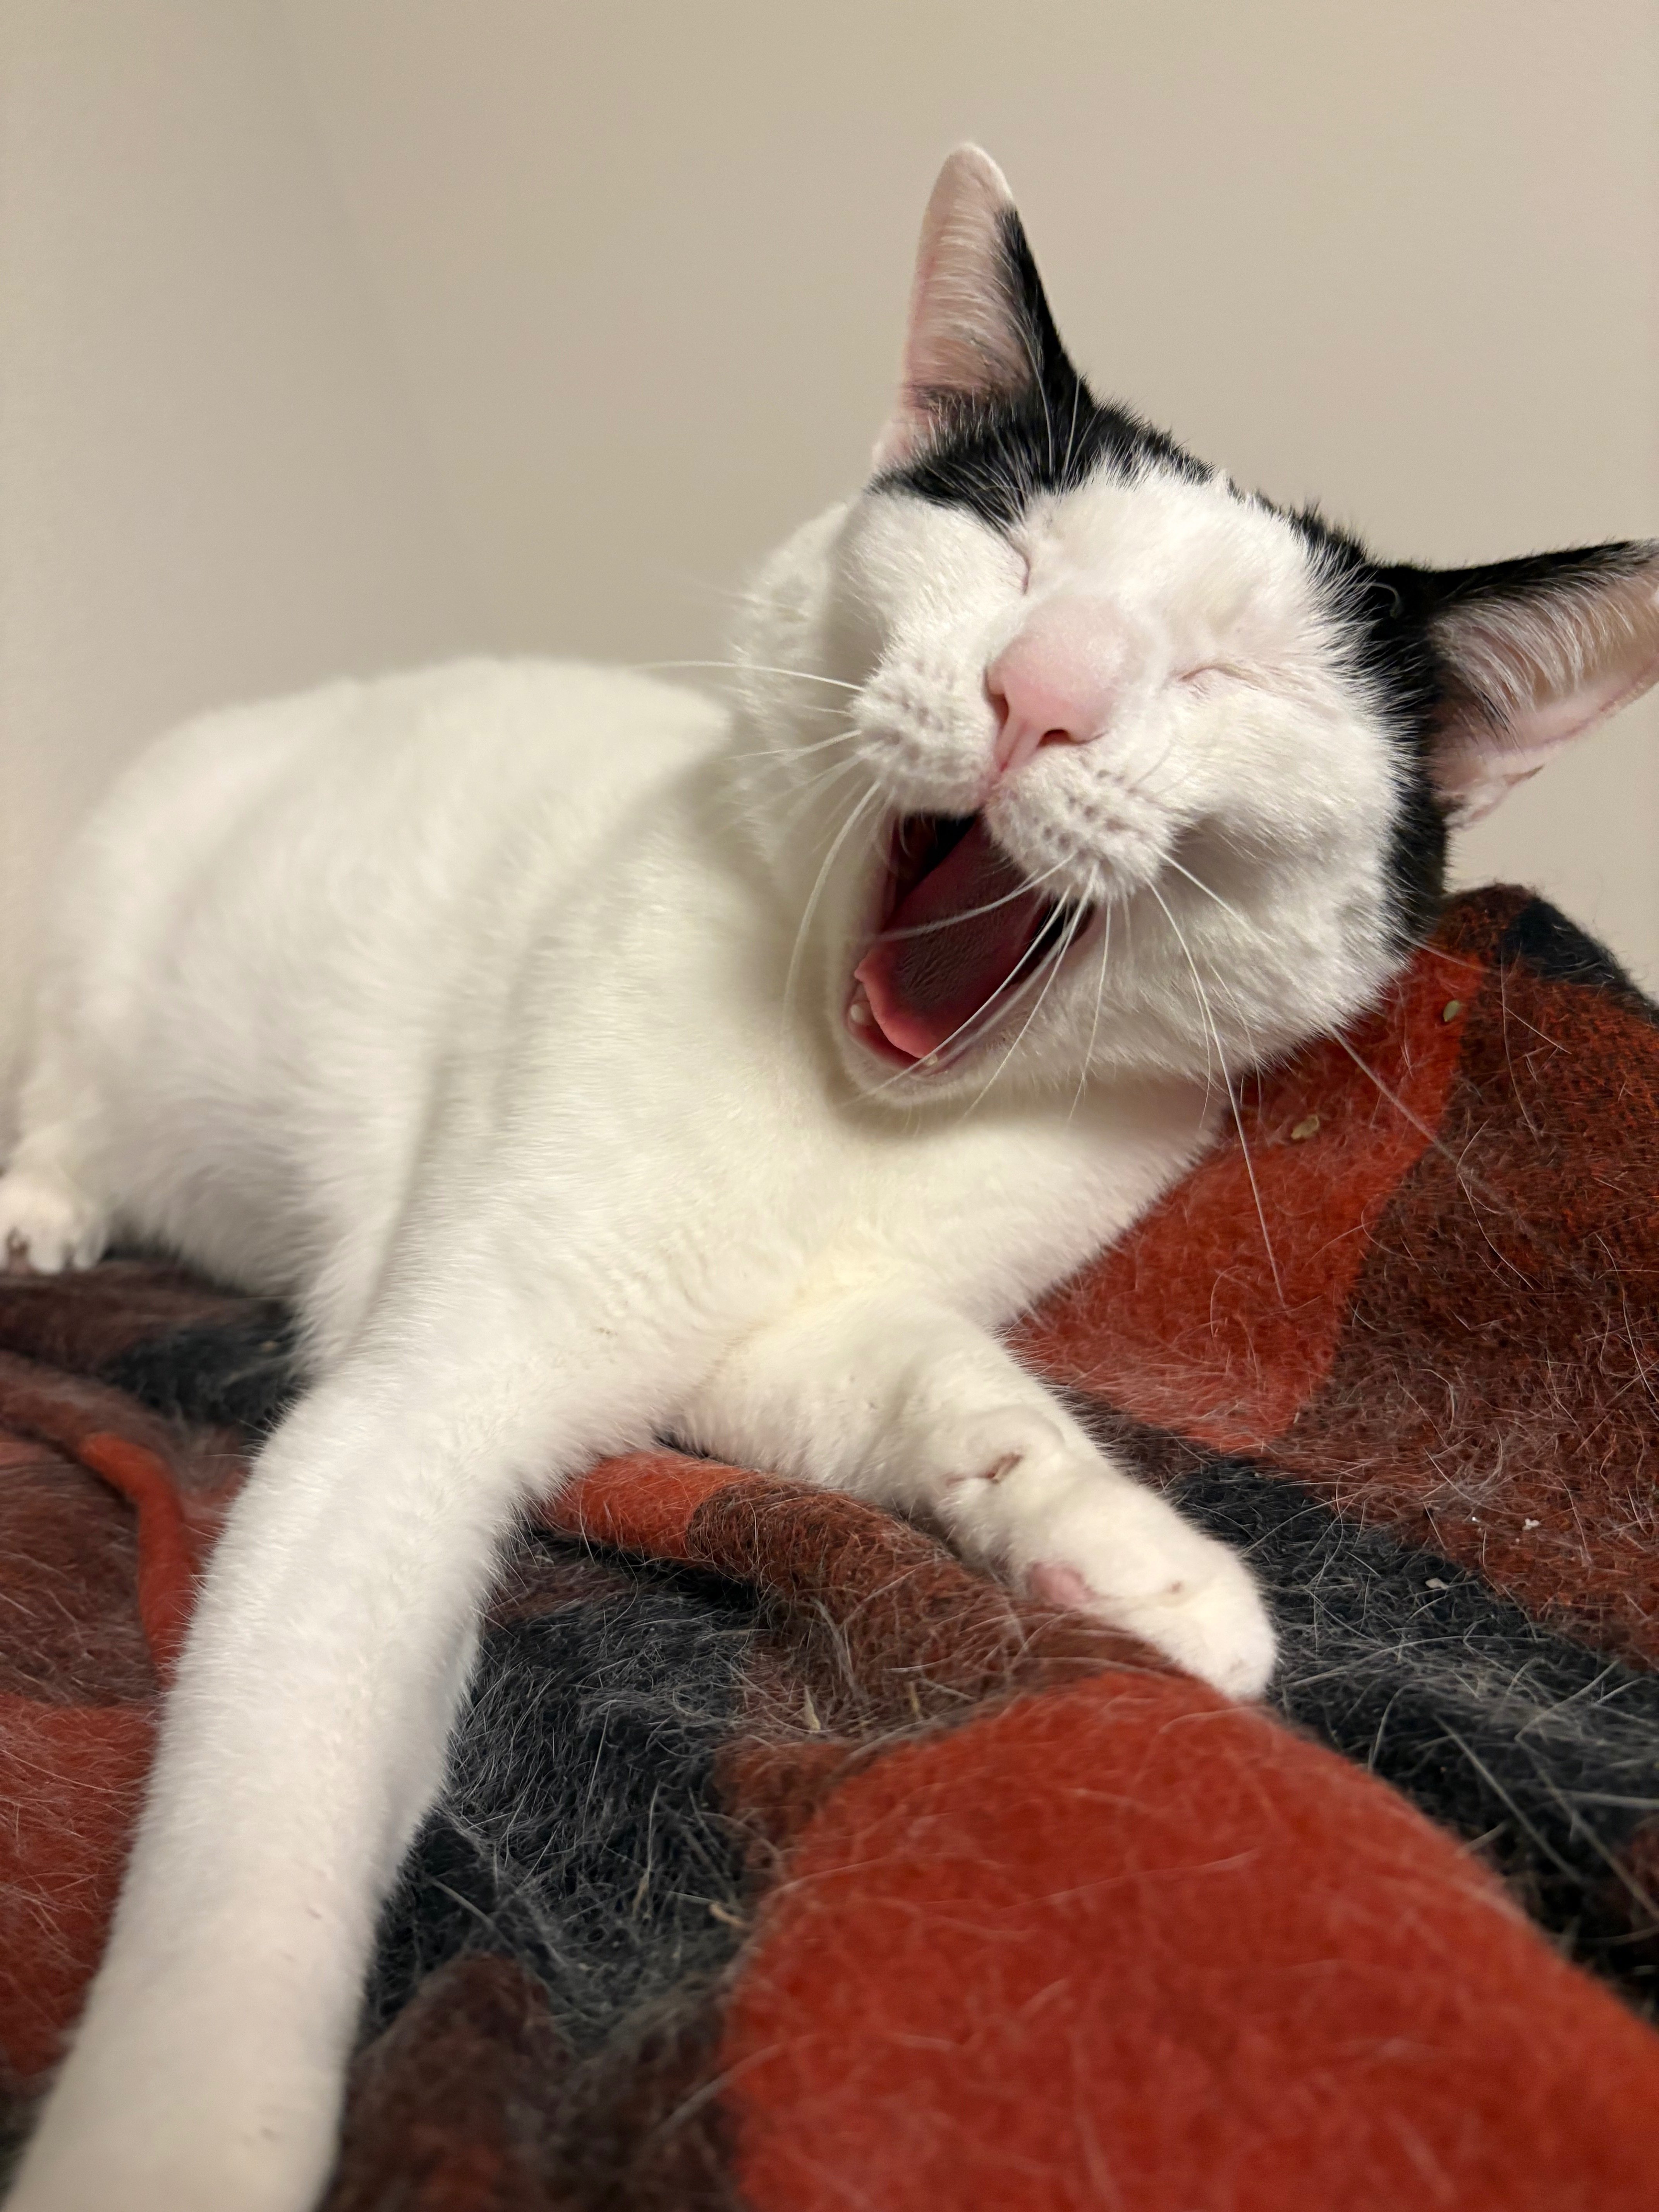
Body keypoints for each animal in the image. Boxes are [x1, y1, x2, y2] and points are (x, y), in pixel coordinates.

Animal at [4, 145, 1656, 2212]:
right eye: (1012, 557)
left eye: (1230, 675)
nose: (1041, 690)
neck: (845, 1106)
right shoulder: (407, 1410)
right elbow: (261, 1832)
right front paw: (170, 2134)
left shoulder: (774, 1341)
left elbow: (920, 1377)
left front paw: (1119, 1549)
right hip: (117, 920)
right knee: (63, 1078)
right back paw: (43, 1196)